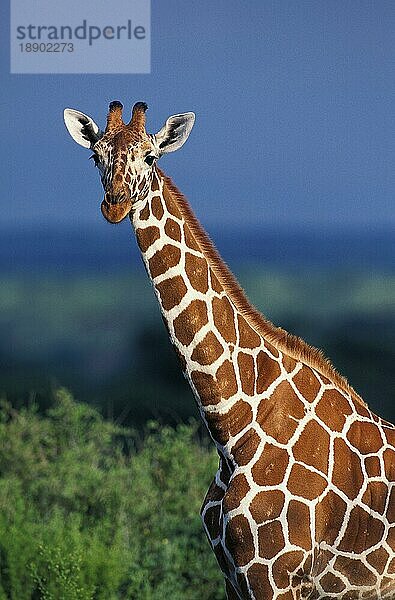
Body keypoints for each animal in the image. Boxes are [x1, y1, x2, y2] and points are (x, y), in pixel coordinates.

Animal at [65, 101, 395, 596]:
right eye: (96, 155)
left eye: (151, 156)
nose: (115, 204)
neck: (236, 429)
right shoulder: (233, 576)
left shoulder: (275, 576)